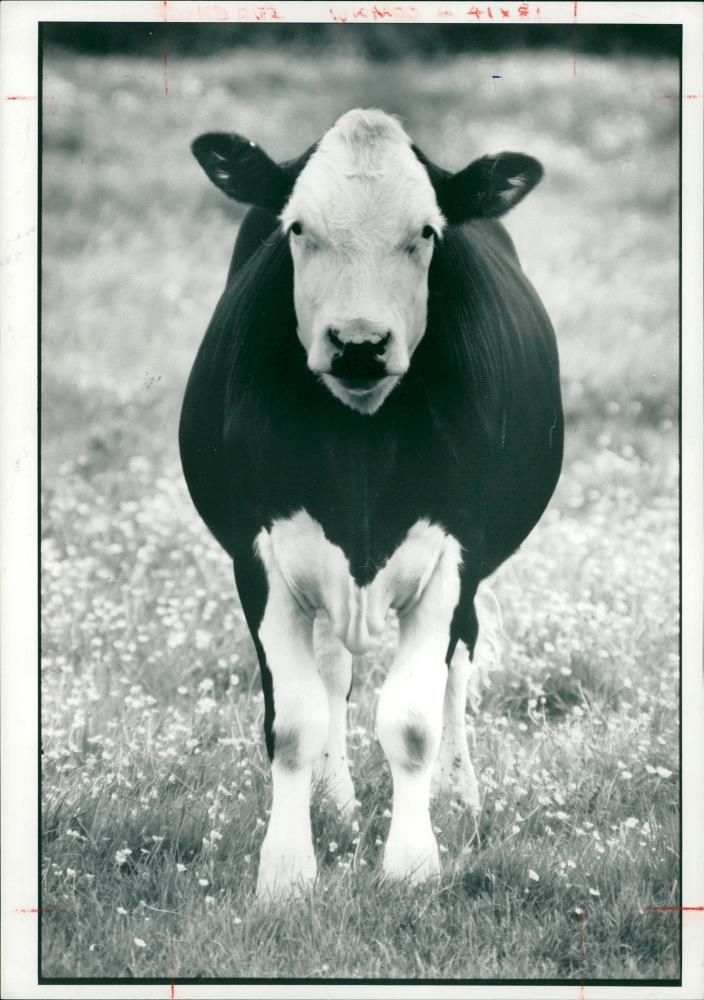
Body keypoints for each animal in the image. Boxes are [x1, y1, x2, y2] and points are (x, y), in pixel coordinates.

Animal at [179, 107, 564, 900]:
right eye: (298, 229)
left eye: (426, 233)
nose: (358, 344)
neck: (361, 438)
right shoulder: (259, 557)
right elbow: (292, 721)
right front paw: (288, 874)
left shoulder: (454, 554)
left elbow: (413, 719)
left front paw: (412, 866)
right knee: (333, 672)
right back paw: (335, 800)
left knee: (459, 661)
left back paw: (458, 794)